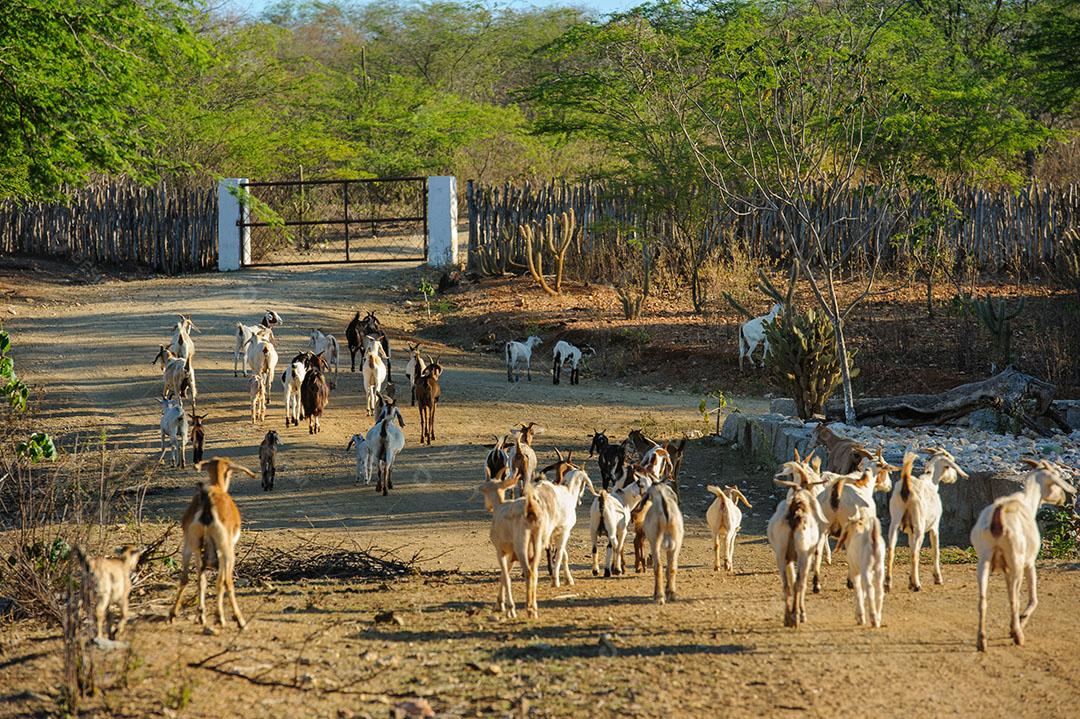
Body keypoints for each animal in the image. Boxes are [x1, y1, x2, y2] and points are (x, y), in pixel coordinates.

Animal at [168, 458, 257, 629]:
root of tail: (208, 501)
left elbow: (202, 581)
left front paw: (201, 616)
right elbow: (220, 582)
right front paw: (218, 617)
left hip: (190, 546)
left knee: (187, 578)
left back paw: (177, 615)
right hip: (226, 551)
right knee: (226, 582)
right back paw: (238, 620)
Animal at [480, 472, 550, 619]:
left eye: (483, 489)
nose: (487, 507)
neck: (499, 507)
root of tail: (530, 509)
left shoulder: (500, 551)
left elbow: (506, 577)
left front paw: (510, 609)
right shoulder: (511, 556)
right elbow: (503, 575)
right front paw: (499, 604)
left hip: (521, 544)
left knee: (529, 572)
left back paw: (529, 609)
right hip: (538, 542)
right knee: (535, 572)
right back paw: (534, 608)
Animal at [767, 467, 827, 627]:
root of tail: (795, 509)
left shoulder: (787, 557)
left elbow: (791, 580)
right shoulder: (809, 552)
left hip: (781, 554)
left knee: (787, 585)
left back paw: (788, 617)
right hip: (803, 554)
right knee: (800, 583)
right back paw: (798, 616)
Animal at [886, 448, 969, 592]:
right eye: (950, 464)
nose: (954, 478)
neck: (930, 481)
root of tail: (906, 487)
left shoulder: (910, 531)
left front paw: (910, 581)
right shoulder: (934, 527)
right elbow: (935, 551)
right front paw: (938, 578)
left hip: (895, 522)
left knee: (891, 549)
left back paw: (888, 584)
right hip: (919, 526)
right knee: (915, 553)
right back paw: (917, 585)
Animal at [972, 459, 1076, 651]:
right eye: (1056, 476)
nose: (1063, 500)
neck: (1027, 501)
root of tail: (999, 515)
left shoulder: (1006, 569)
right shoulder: (1029, 563)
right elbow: (1033, 598)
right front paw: (1020, 621)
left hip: (984, 561)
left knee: (983, 600)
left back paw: (981, 641)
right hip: (1017, 562)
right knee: (1015, 599)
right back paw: (1018, 635)